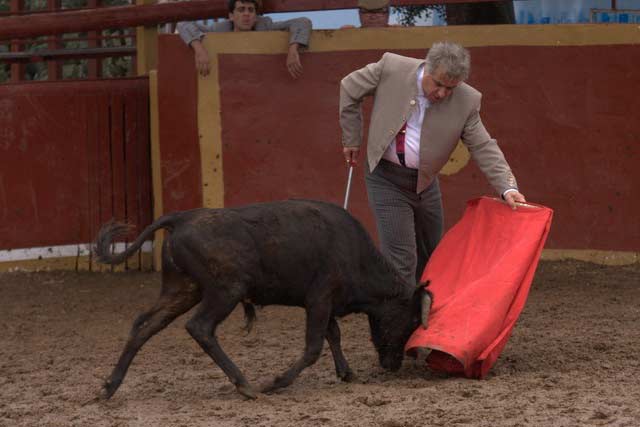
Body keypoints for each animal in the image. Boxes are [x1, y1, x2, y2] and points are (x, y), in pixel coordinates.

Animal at [95, 199, 432, 400]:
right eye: (413, 319)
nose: (393, 365)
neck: (355, 254)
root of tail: (181, 218)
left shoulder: (325, 304)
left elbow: (333, 335)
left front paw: (346, 372)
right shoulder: (319, 299)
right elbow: (314, 347)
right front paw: (276, 382)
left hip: (182, 290)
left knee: (145, 326)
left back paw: (110, 387)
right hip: (225, 290)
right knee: (200, 327)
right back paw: (245, 385)